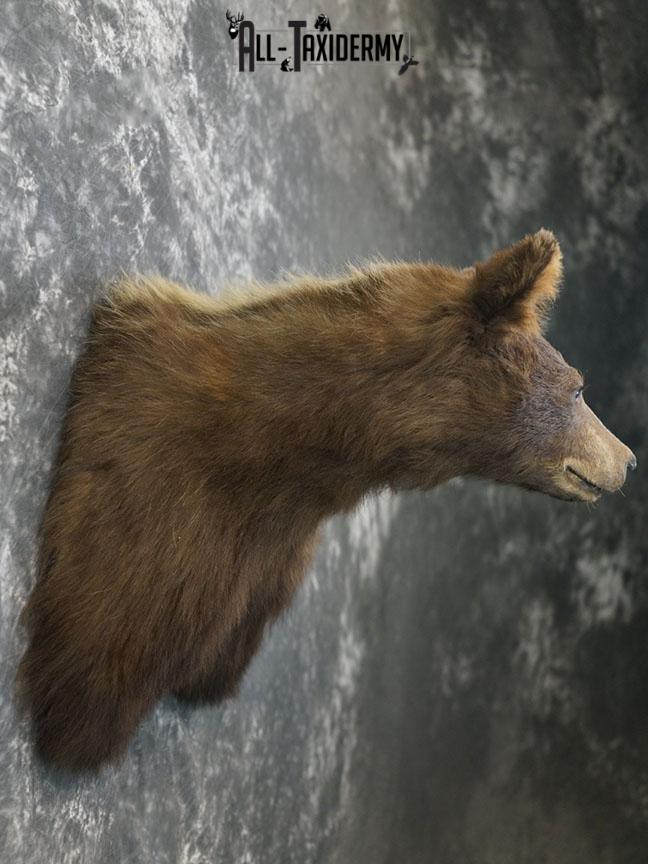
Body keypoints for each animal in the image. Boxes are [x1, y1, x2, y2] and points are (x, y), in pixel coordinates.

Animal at [17, 229, 636, 771]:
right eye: (578, 388)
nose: (629, 459)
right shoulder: (156, 517)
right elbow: (108, 652)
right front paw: (73, 727)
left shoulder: (264, 566)